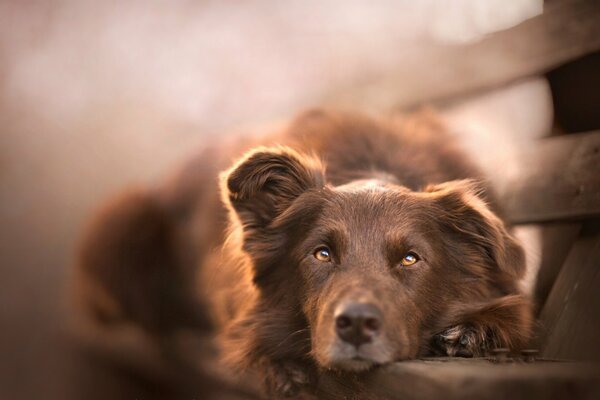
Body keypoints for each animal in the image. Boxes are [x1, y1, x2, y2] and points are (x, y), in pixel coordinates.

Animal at [76, 108, 536, 396]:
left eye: (411, 258)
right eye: (322, 254)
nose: (356, 326)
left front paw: (474, 330)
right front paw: (281, 367)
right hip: (124, 221)